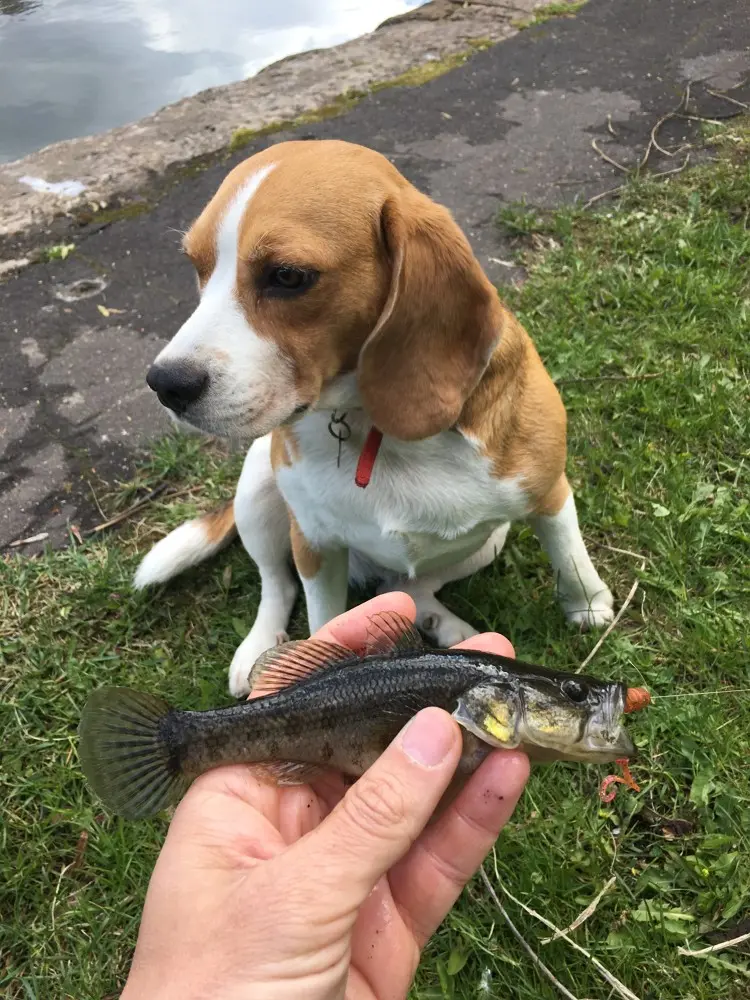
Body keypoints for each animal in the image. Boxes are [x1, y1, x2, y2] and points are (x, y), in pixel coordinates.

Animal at [137, 139, 616, 696]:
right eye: (197, 267)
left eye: (287, 276)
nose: (165, 384)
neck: (375, 427)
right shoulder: (316, 545)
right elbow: (321, 619)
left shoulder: (549, 493)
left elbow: (569, 556)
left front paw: (588, 606)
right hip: (258, 490)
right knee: (276, 583)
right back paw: (259, 647)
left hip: (487, 543)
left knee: (413, 586)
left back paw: (442, 623)